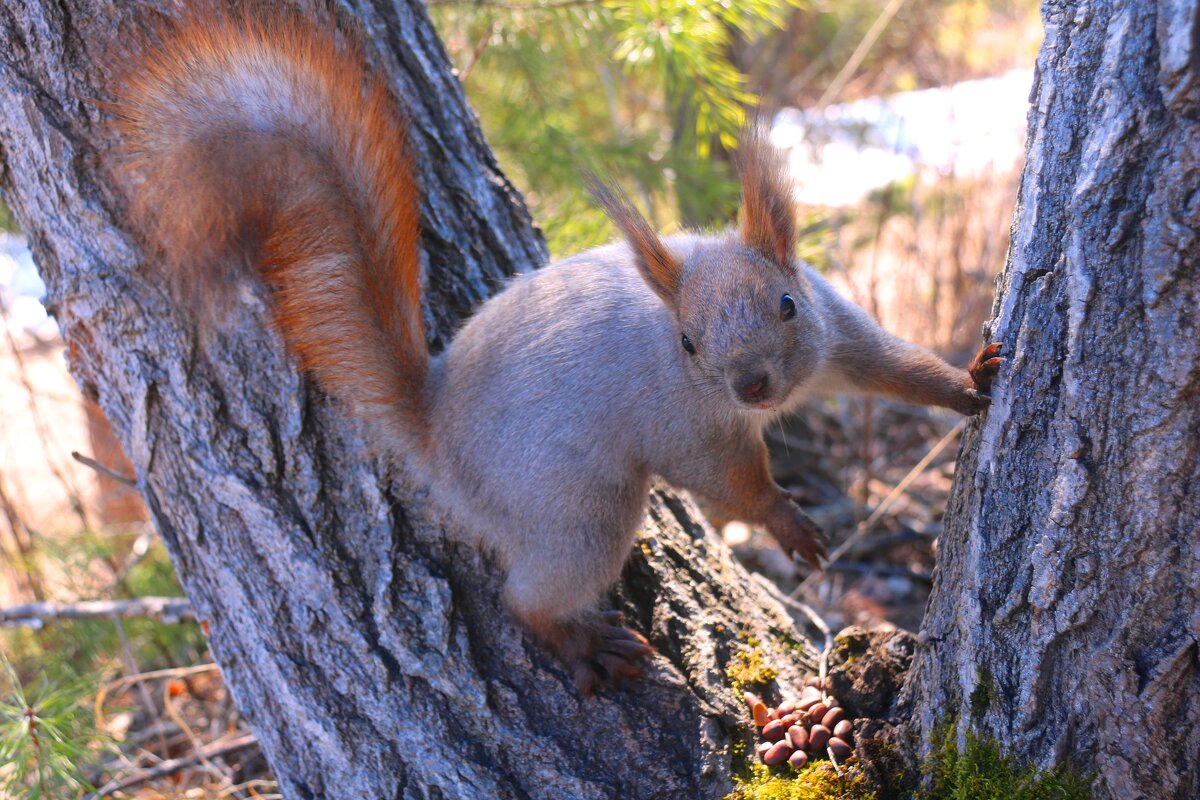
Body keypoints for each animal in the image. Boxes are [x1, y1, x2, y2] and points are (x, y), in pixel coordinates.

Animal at [117, 6, 1008, 695]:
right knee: (529, 601)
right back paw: (586, 644)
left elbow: (896, 366)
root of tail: (436, 432)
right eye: (687, 343)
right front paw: (789, 525)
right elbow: (732, 486)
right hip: (577, 504)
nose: (753, 386)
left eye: (785, 305)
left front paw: (970, 380)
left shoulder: (837, 330)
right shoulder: (685, 424)